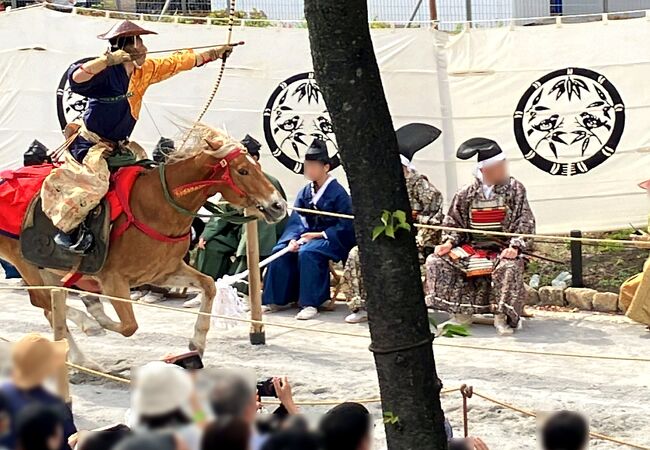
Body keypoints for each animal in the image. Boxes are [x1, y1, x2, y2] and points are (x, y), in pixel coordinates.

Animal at [0, 124, 286, 366]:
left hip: (46, 268)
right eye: (243, 171)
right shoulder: (114, 279)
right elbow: (129, 326)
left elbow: (208, 285)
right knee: (45, 302)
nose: (278, 206)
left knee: (51, 304)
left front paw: (197, 342)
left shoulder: (162, 272)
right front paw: (97, 319)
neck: (157, 206)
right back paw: (87, 327)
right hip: (26, 263)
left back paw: (82, 352)